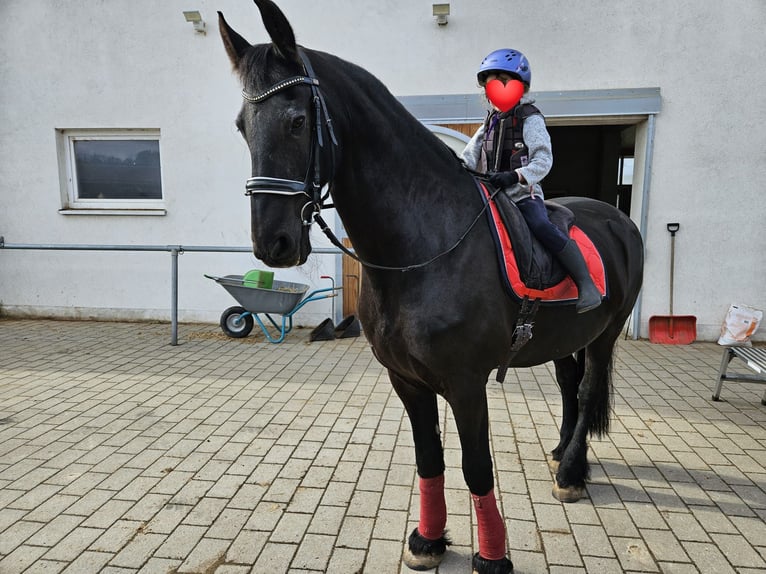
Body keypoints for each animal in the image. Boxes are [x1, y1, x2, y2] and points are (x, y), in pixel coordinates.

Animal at [219, 2, 644, 572]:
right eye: (242, 127)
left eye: (297, 121)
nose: (273, 241)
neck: (423, 248)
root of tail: (620, 222)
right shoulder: (407, 380)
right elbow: (429, 460)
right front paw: (429, 539)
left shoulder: (466, 383)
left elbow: (476, 466)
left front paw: (492, 556)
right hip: (564, 339)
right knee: (569, 385)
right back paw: (561, 456)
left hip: (606, 334)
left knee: (589, 387)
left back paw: (572, 473)